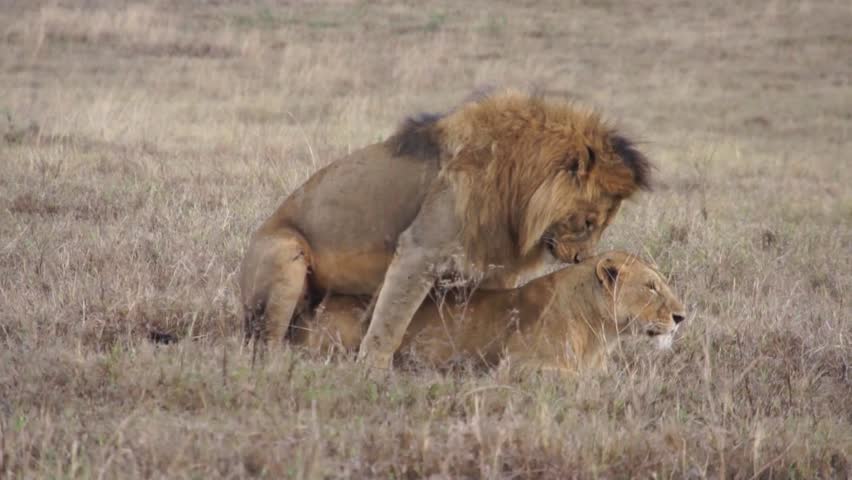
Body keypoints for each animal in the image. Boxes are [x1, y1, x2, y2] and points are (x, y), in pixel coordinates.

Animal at [240, 90, 652, 372]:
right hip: (285, 253)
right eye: (588, 222)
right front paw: (373, 370)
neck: (515, 183)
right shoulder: (419, 249)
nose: (582, 258)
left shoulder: (494, 266)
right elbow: (391, 319)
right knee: (265, 341)